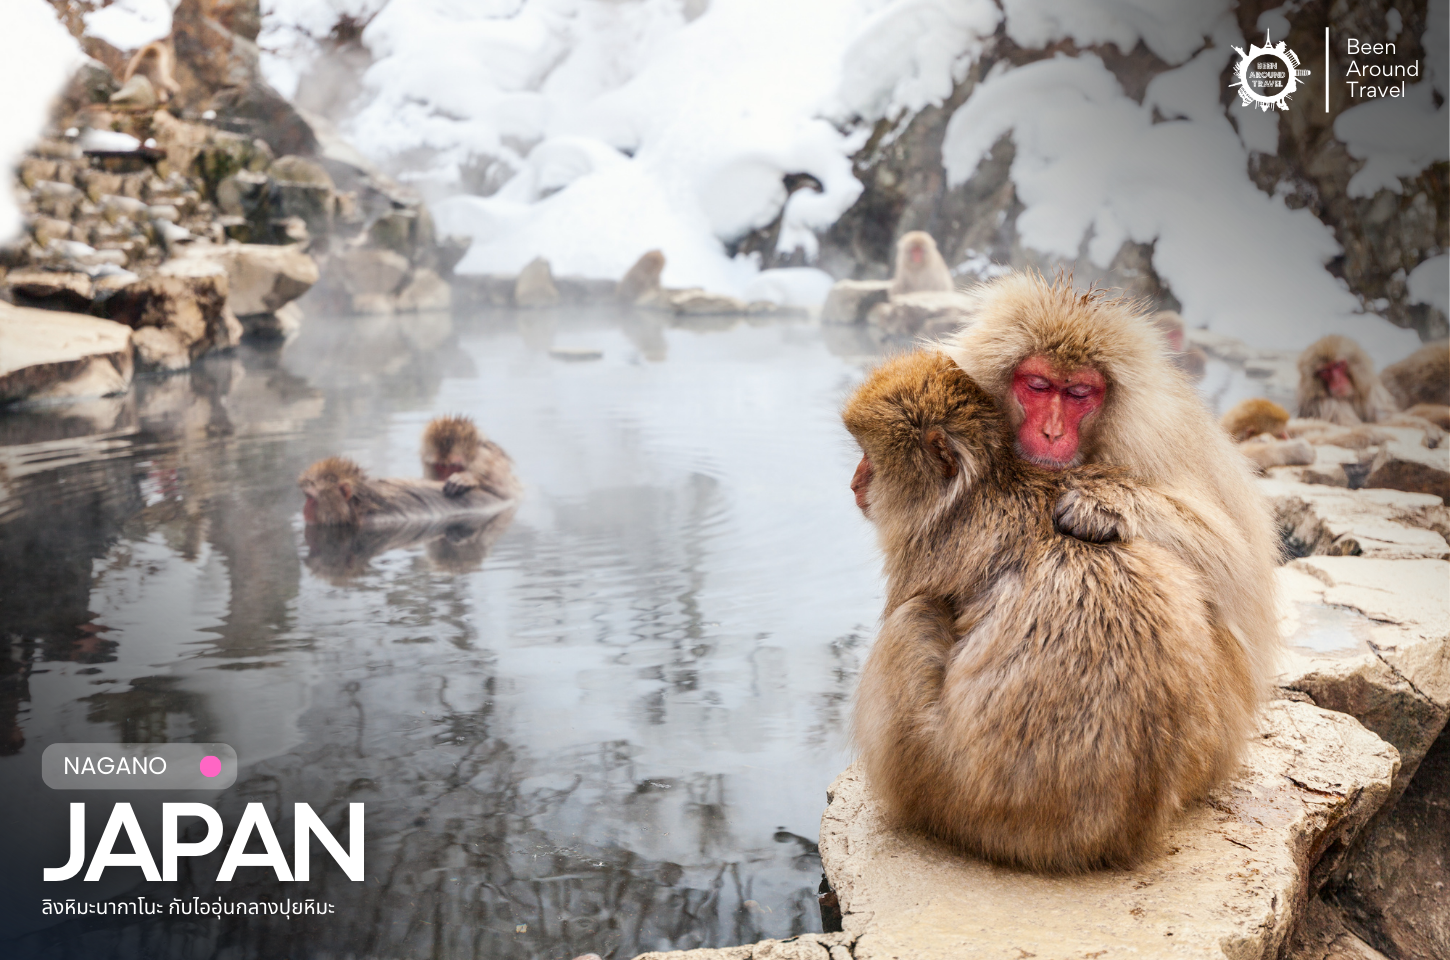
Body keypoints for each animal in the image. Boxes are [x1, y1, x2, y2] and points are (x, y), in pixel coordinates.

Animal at [844, 351, 1257, 872]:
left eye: (871, 459)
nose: (855, 482)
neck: (987, 481)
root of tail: (1114, 839)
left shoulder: (923, 551)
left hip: (948, 791)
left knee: (910, 622)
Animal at [941, 272, 1282, 700]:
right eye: (1038, 385)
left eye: (1078, 393)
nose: (1051, 432)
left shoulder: (1151, 442)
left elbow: (1233, 562)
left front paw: (1099, 508)